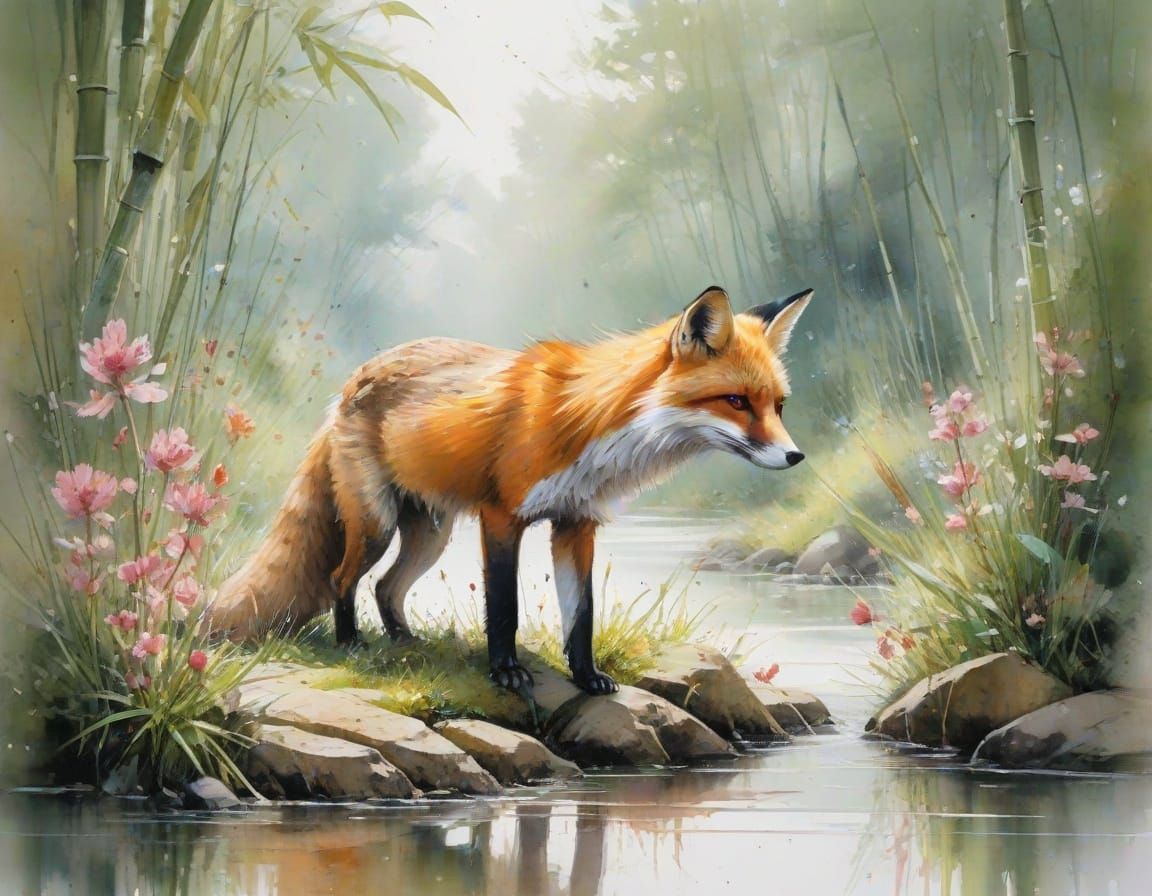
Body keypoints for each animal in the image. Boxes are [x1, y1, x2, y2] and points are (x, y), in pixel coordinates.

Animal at [206, 285, 812, 694]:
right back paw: (352, 644)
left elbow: (581, 614)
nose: (795, 456)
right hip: (377, 524)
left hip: (429, 534)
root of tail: (353, 380)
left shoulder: (577, 521)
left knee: (386, 588)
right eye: (737, 401)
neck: (591, 425)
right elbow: (503, 606)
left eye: (779, 406)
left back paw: (405, 644)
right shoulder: (502, 516)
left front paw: (588, 677)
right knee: (342, 578)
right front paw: (506, 671)